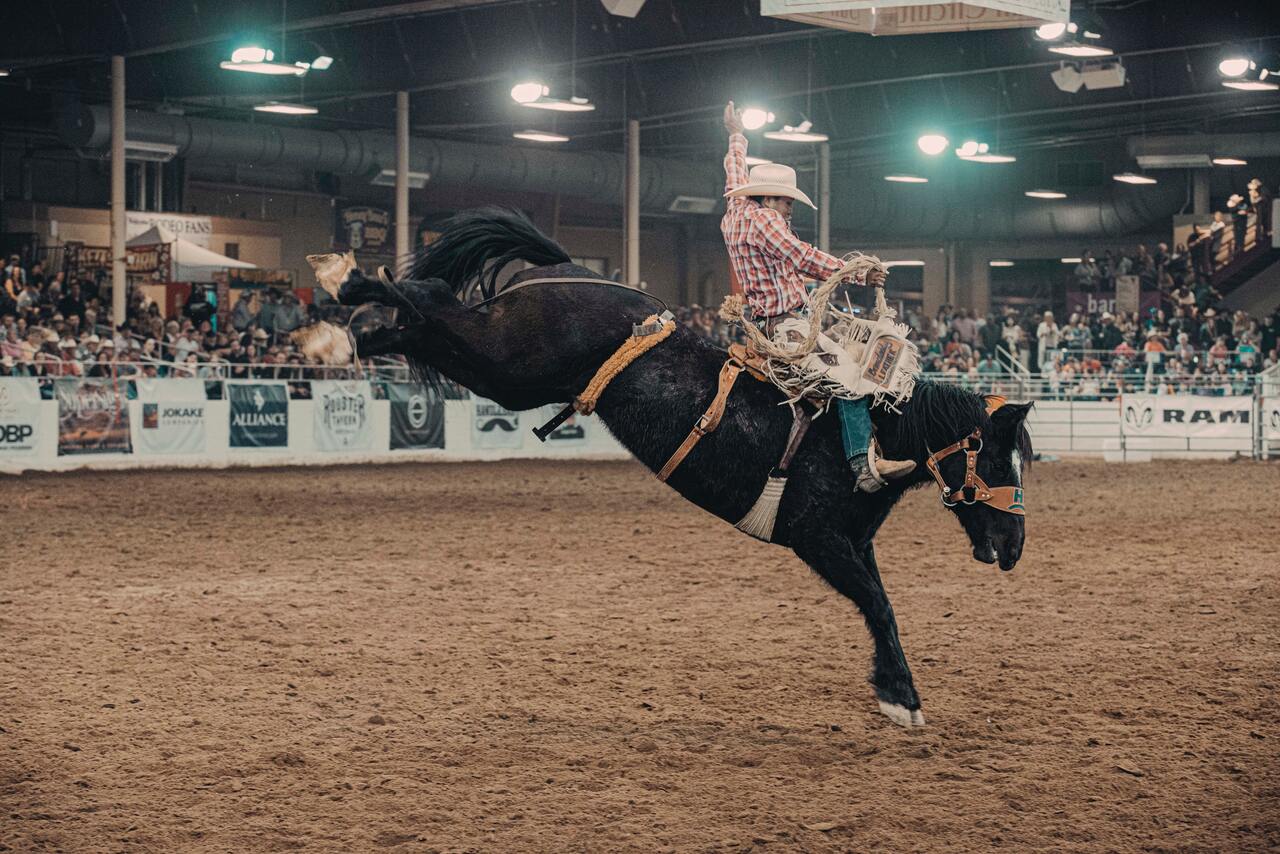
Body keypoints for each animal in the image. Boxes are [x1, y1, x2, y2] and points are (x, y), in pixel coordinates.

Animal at [307, 207, 1029, 727]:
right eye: (1001, 458)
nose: (1016, 546)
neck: (877, 431)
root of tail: (567, 270)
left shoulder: (853, 543)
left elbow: (882, 606)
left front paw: (893, 687)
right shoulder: (819, 538)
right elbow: (878, 604)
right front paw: (902, 699)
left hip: (506, 376)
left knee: (425, 321)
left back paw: (342, 335)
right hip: (510, 361)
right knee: (431, 299)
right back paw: (346, 286)